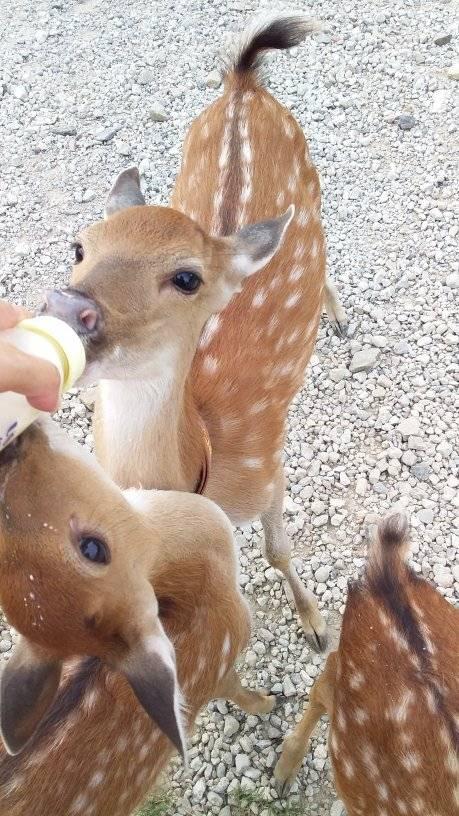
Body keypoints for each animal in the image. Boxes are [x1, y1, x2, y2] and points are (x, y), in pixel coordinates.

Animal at [43, 12, 348, 653]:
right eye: (79, 246)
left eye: (187, 277)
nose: (67, 305)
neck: (206, 457)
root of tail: (243, 83)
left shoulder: (268, 465)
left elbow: (279, 549)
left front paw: (315, 624)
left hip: (312, 185)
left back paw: (335, 315)